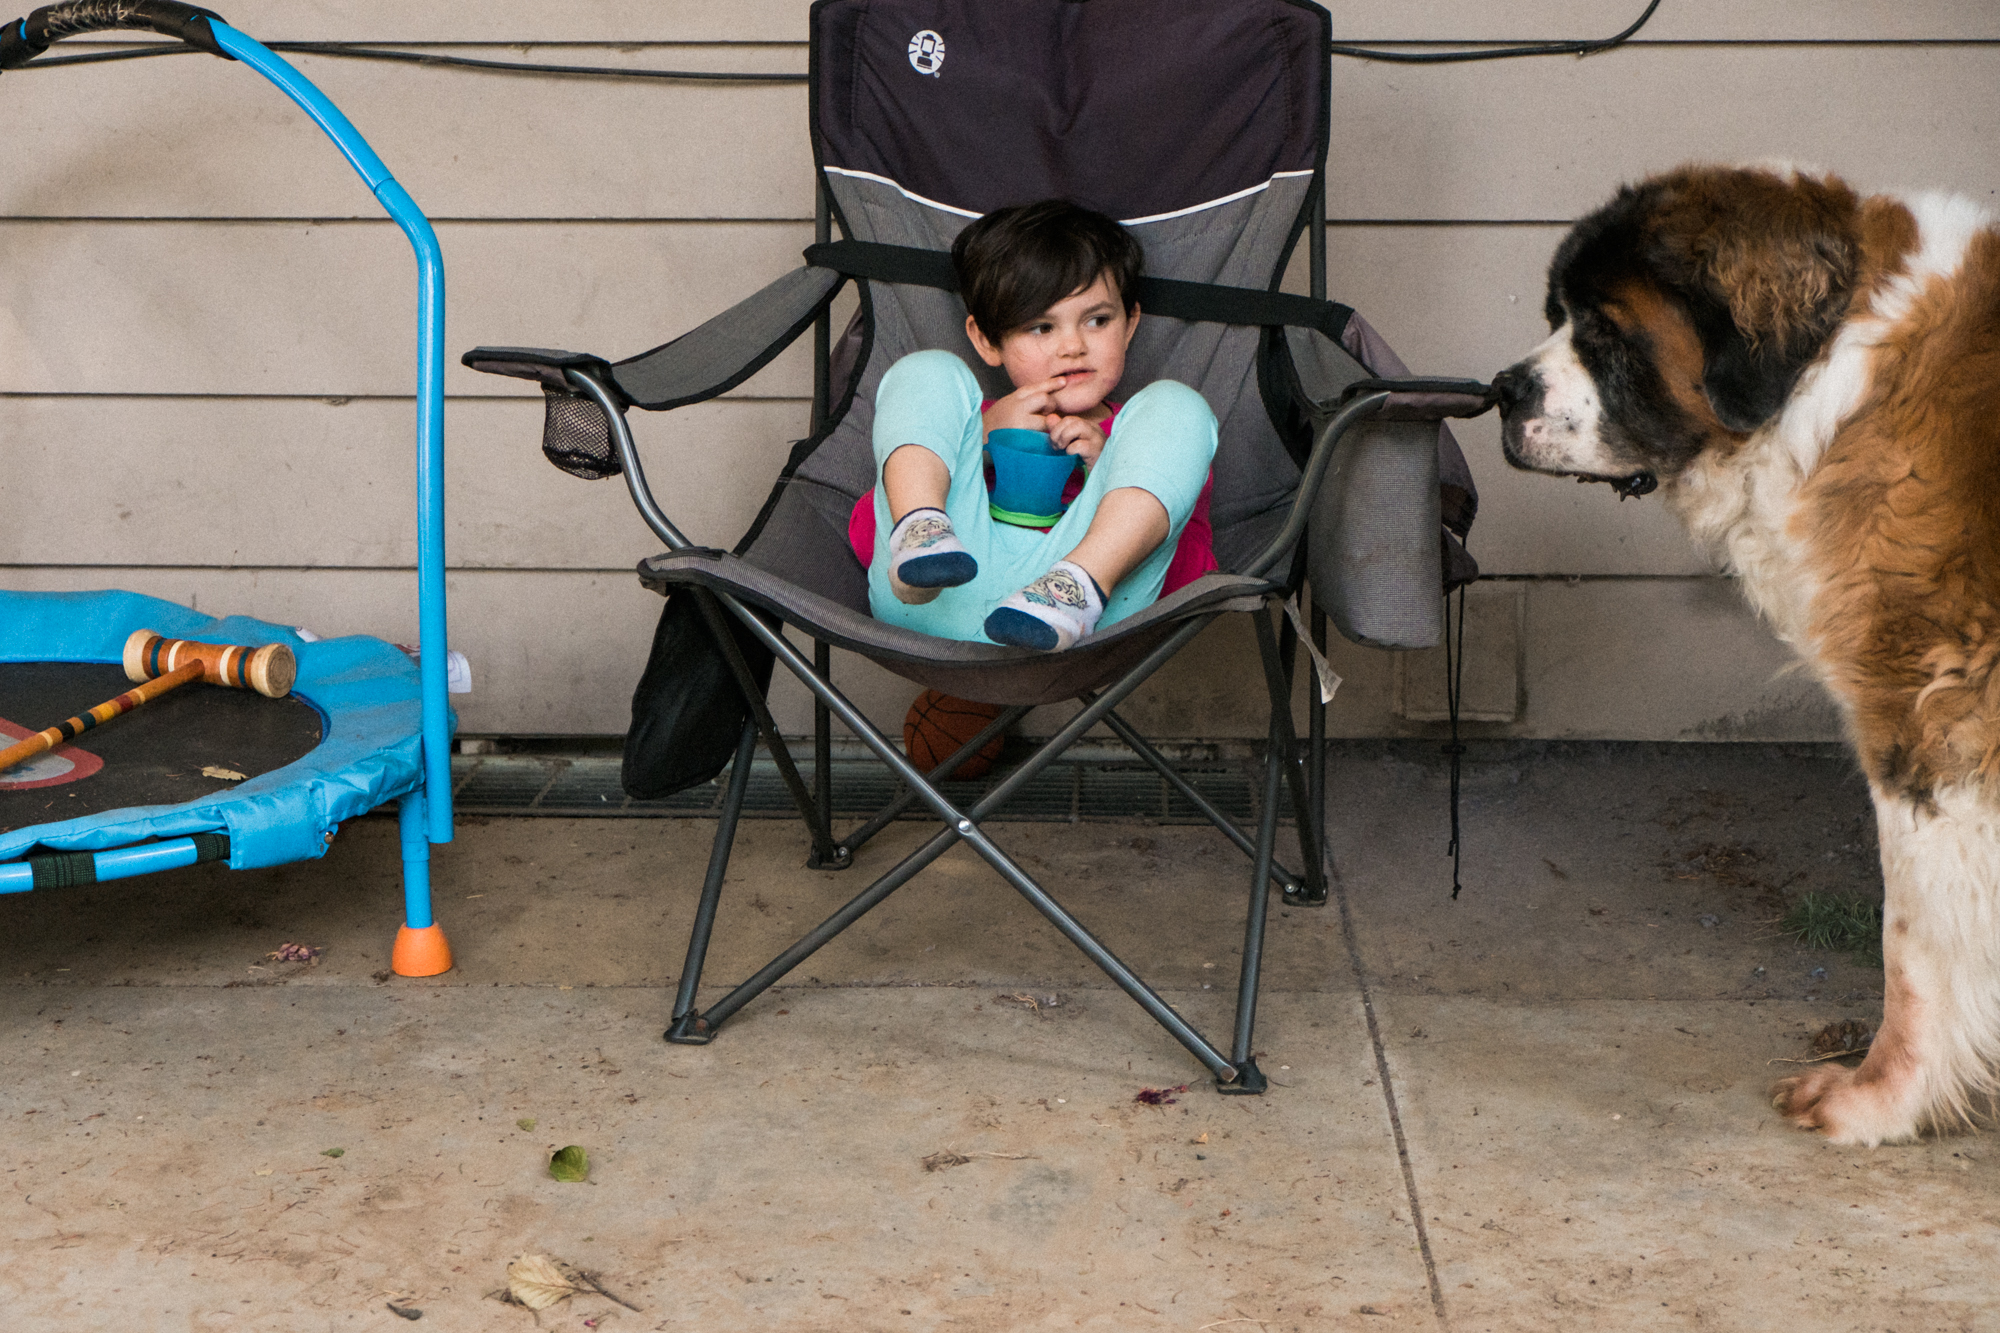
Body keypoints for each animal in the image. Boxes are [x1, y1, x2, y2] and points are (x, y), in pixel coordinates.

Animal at [1496, 163, 2000, 1144]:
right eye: (1555, 313)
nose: (1502, 388)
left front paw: (1881, 1099)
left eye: (1603, 333)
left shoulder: (1930, 722)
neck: (1829, 375)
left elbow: (1914, 941)